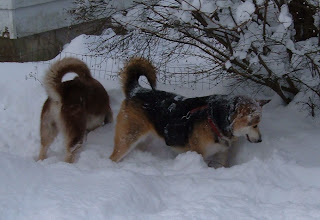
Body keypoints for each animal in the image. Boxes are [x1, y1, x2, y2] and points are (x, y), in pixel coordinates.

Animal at [110, 57, 270, 168]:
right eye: (254, 124)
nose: (261, 140)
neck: (215, 119)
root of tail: (136, 90)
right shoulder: (199, 153)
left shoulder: (221, 155)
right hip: (128, 137)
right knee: (113, 157)